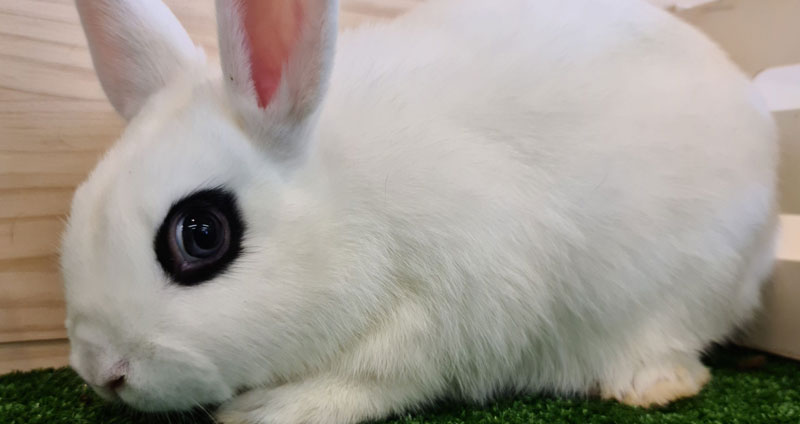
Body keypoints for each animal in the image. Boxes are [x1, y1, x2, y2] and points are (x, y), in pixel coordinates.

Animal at [61, 0, 779, 423]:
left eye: (201, 233)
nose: (103, 372)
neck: (350, 195)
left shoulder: (453, 303)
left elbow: (376, 377)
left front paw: (268, 409)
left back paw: (651, 385)